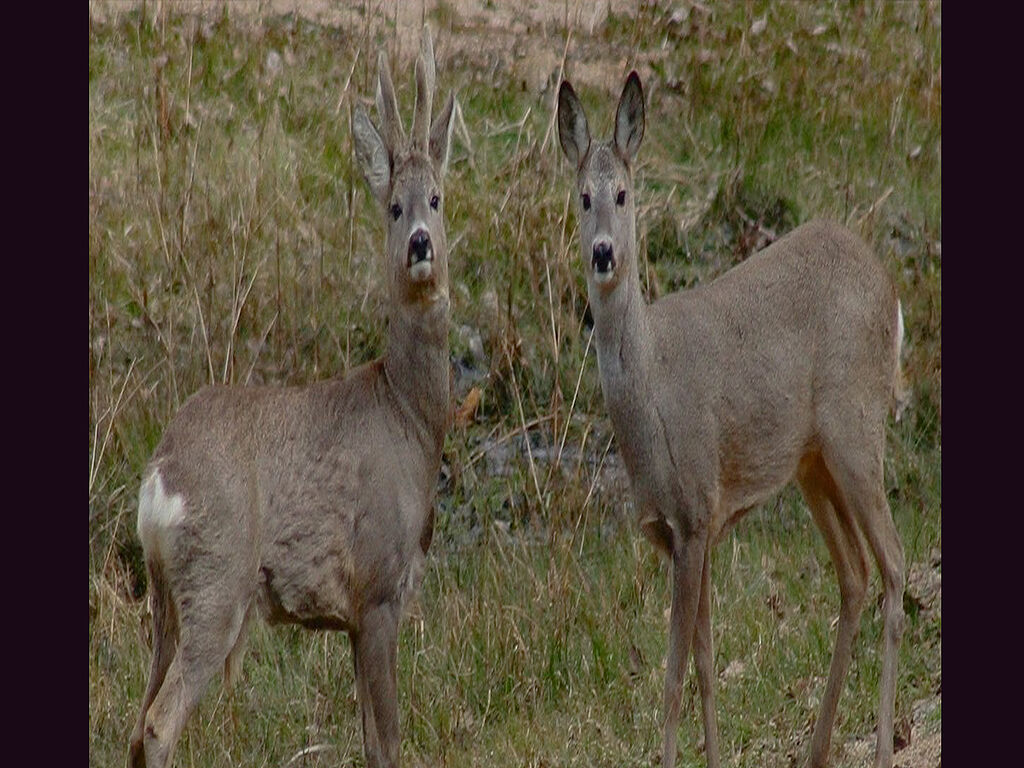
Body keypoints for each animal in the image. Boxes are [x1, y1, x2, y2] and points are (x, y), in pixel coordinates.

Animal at [130, 30, 458, 768]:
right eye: (394, 206)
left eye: (438, 198)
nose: (421, 245)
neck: (408, 415)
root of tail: (160, 479)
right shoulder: (379, 587)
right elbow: (387, 741)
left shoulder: (355, 616)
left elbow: (368, 737)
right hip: (216, 578)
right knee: (159, 722)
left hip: (166, 597)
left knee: (135, 721)